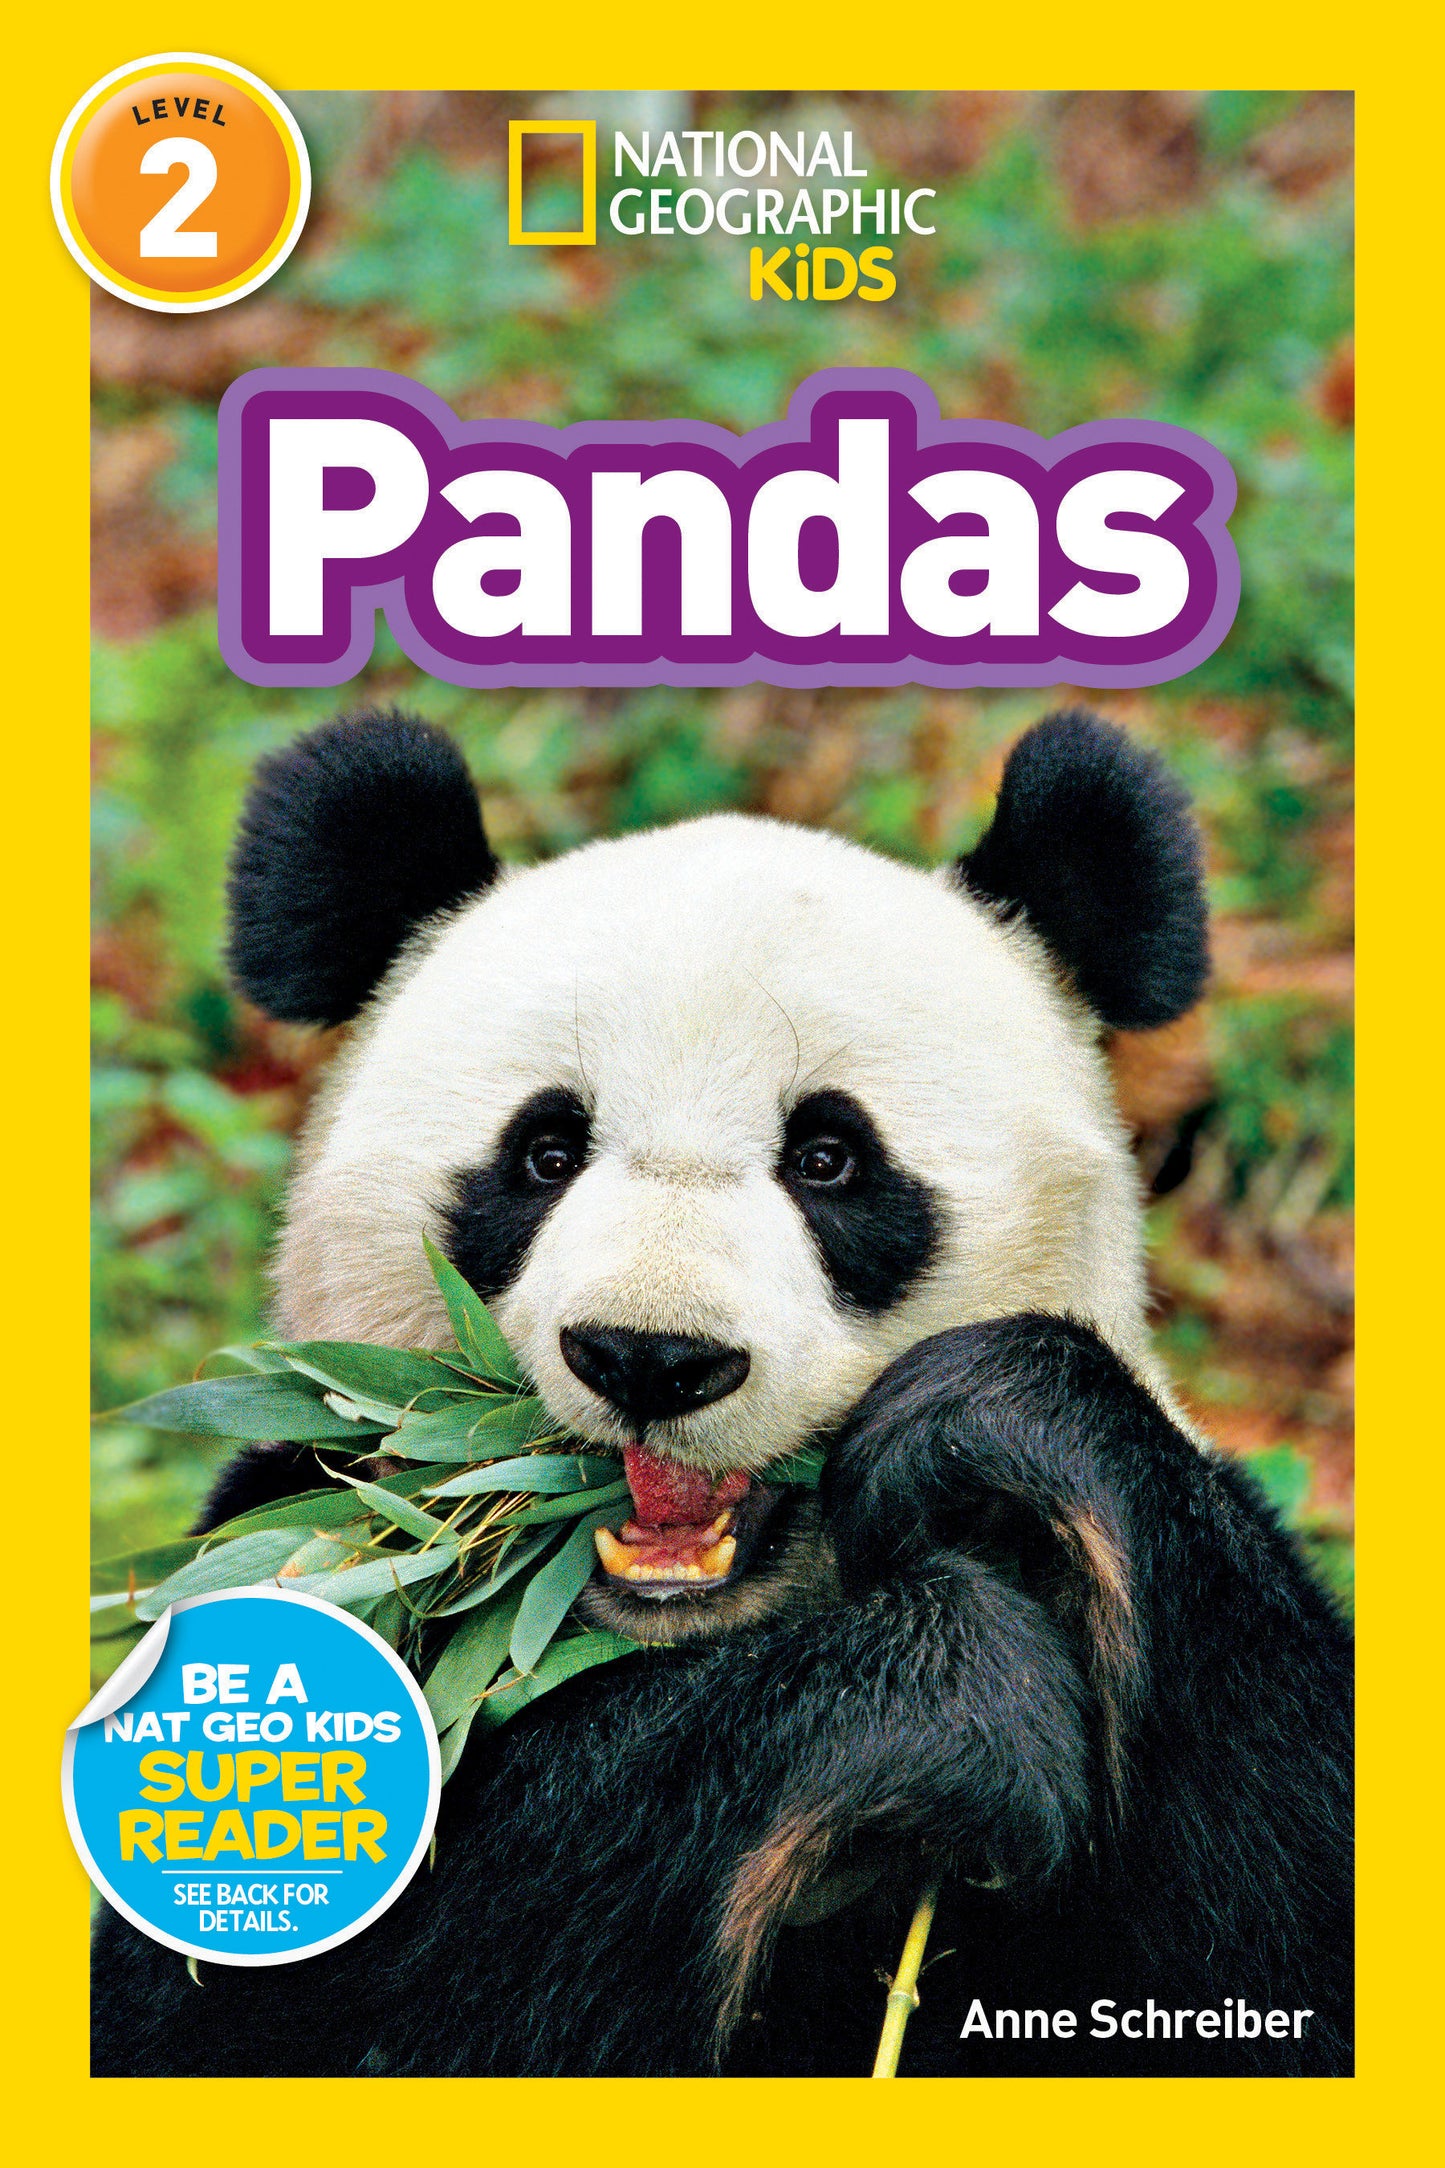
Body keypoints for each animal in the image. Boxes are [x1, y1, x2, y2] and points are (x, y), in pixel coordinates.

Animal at [92, 706, 1352, 2078]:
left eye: (830, 1157)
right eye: (544, 1151)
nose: (649, 1354)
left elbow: (1282, 1923)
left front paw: (987, 1426)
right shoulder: (308, 1536)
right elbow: (274, 1983)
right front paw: (942, 1691)